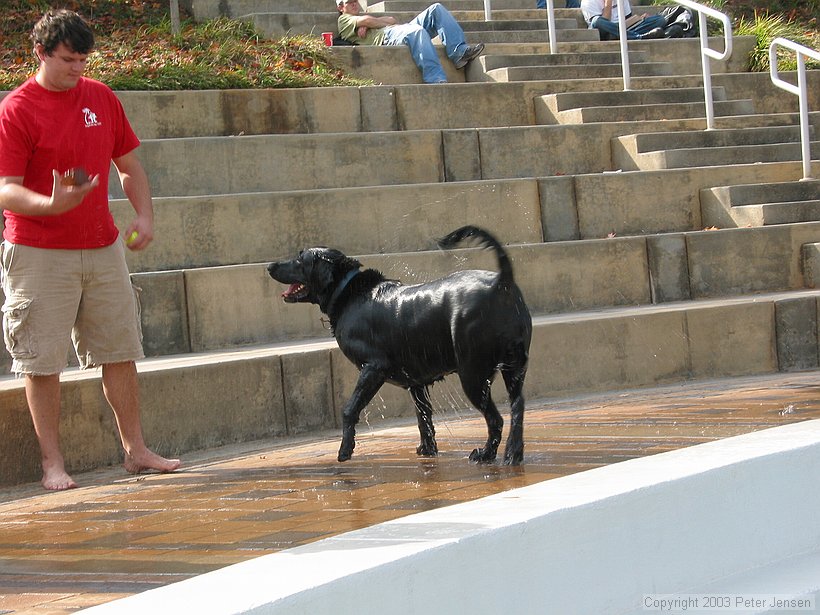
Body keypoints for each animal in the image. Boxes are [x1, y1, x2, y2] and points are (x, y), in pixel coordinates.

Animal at [268, 229, 532, 464]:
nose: (270, 266)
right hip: (514, 368)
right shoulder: (416, 382)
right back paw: (513, 454)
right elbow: (423, 416)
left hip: (473, 375)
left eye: (300, 259)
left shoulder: (374, 368)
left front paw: (345, 450)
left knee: (495, 419)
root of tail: (501, 282)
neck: (349, 292)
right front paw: (427, 449)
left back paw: (486, 455)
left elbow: (350, 409)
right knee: (517, 406)